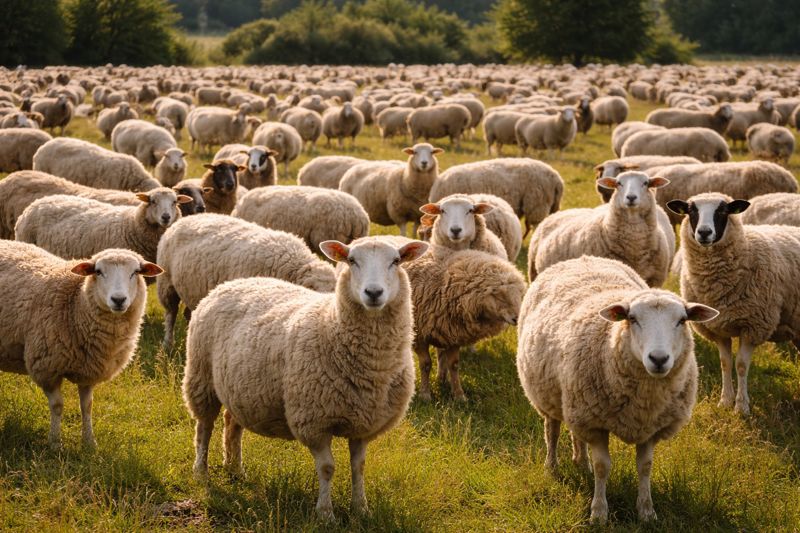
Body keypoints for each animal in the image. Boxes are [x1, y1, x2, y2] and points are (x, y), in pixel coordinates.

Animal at [0, 241, 163, 448]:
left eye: (135, 272)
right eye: (98, 272)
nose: (118, 300)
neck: (75, 305)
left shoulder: (89, 368)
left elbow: (87, 406)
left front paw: (89, 442)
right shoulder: (46, 367)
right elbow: (57, 406)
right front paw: (55, 443)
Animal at [157, 213, 338, 349]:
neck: (288, 262)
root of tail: (188, 217)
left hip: (192, 289)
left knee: (188, 313)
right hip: (166, 284)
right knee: (171, 314)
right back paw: (168, 344)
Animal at [182, 237, 427, 519]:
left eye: (395, 261)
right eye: (351, 260)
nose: (373, 293)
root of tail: (232, 283)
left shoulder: (365, 422)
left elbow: (359, 466)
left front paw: (360, 509)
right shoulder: (313, 421)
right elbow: (327, 468)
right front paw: (325, 513)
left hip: (240, 387)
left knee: (232, 423)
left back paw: (235, 469)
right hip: (201, 377)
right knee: (204, 427)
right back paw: (201, 472)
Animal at [516, 255, 717, 522]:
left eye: (682, 320)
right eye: (632, 319)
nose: (659, 359)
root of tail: (582, 257)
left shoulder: (650, 427)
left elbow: (645, 467)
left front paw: (646, 511)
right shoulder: (595, 423)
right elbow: (603, 467)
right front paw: (599, 513)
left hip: (574, 401)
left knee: (576, 434)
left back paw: (581, 463)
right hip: (549, 396)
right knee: (553, 430)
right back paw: (552, 467)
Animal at [668, 193, 800, 416]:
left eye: (722, 211)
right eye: (691, 210)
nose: (704, 232)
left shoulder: (753, 326)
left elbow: (741, 365)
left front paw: (741, 406)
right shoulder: (717, 327)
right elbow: (725, 363)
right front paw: (725, 401)